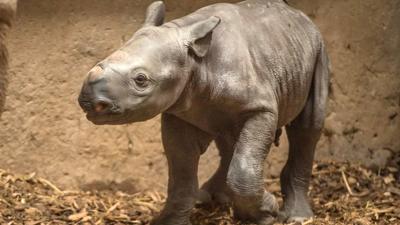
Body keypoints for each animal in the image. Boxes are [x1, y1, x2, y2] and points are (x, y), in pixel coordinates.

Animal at [77, 0, 328, 224]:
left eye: (141, 80)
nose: (88, 101)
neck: (196, 61)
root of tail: (299, 15)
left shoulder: (261, 108)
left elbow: (243, 167)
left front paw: (267, 213)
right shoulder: (179, 112)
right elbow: (181, 171)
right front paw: (170, 222)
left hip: (317, 49)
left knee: (307, 128)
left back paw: (296, 217)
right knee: (229, 137)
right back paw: (213, 199)